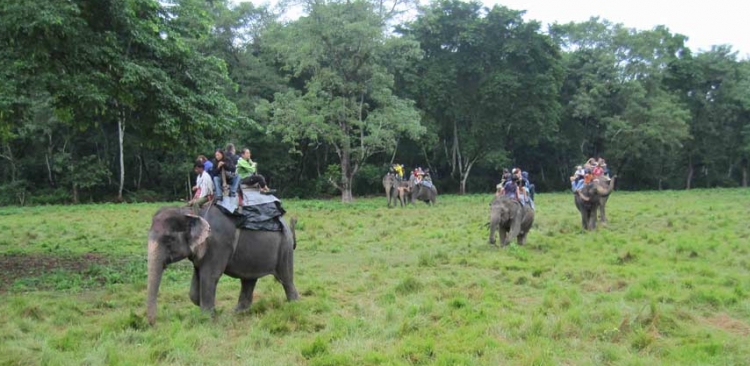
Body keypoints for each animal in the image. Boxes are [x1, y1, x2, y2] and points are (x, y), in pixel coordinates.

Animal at [147, 206, 300, 326]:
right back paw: (238, 312)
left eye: (169, 240)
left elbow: (210, 276)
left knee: (286, 279)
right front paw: (211, 311)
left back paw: (294, 305)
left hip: (284, 248)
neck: (192, 212)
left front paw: (207, 319)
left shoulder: (218, 244)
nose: (154, 323)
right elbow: (195, 286)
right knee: (248, 280)